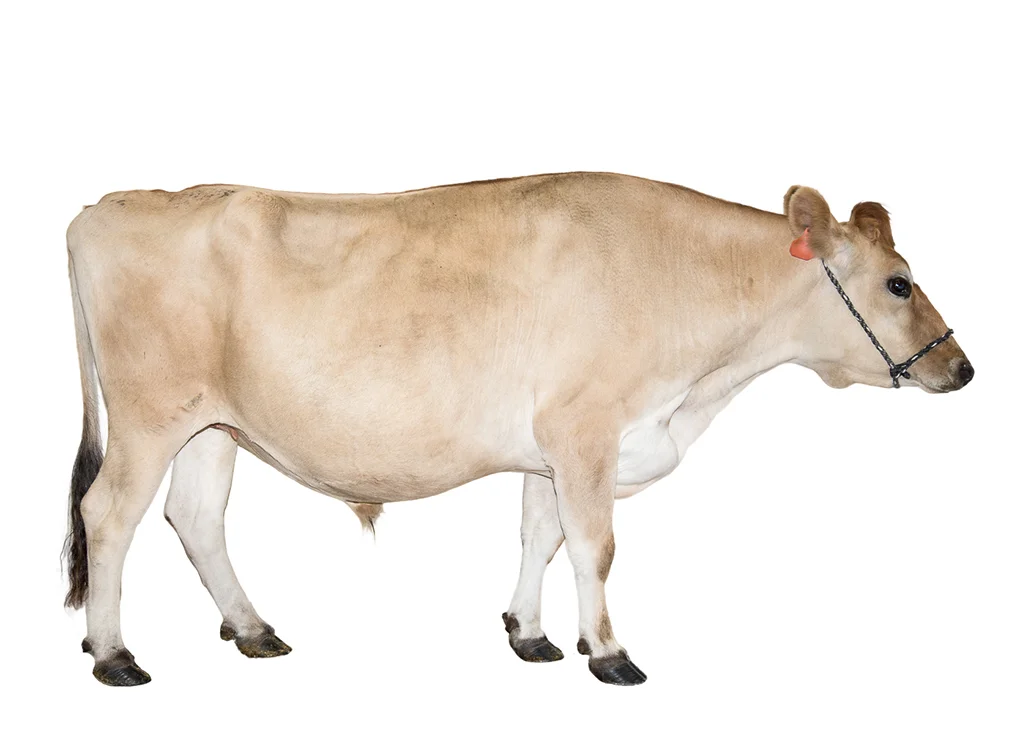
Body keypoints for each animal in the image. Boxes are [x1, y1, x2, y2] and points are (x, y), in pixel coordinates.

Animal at [62, 172, 973, 687]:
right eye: (899, 282)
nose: (961, 367)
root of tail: (106, 205)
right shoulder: (585, 429)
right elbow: (596, 547)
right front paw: (608, 651)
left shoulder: (550, 449)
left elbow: (542, 536)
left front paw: (529, 634)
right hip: (150, 412)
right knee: (108, 514)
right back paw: (113, 654)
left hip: (211, 422)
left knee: (196, 516)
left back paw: (254, 631)